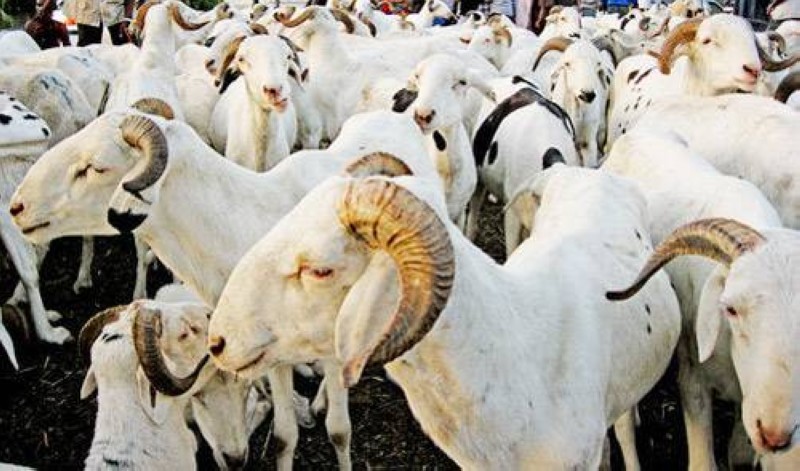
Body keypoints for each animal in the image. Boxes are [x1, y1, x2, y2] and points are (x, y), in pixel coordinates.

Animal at [10, 110, 437, 469]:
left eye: (95, 167)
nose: (16, 207)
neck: (241, 224)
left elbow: (339, 431)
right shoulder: (264, 355)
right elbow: (284, 437)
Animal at [603, 129, 791, 469]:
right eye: (730, 308)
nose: (774, 434)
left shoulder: (747, 404)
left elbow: (739, 454)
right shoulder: (693, 376)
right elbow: (703, 462)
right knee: (623, 427)